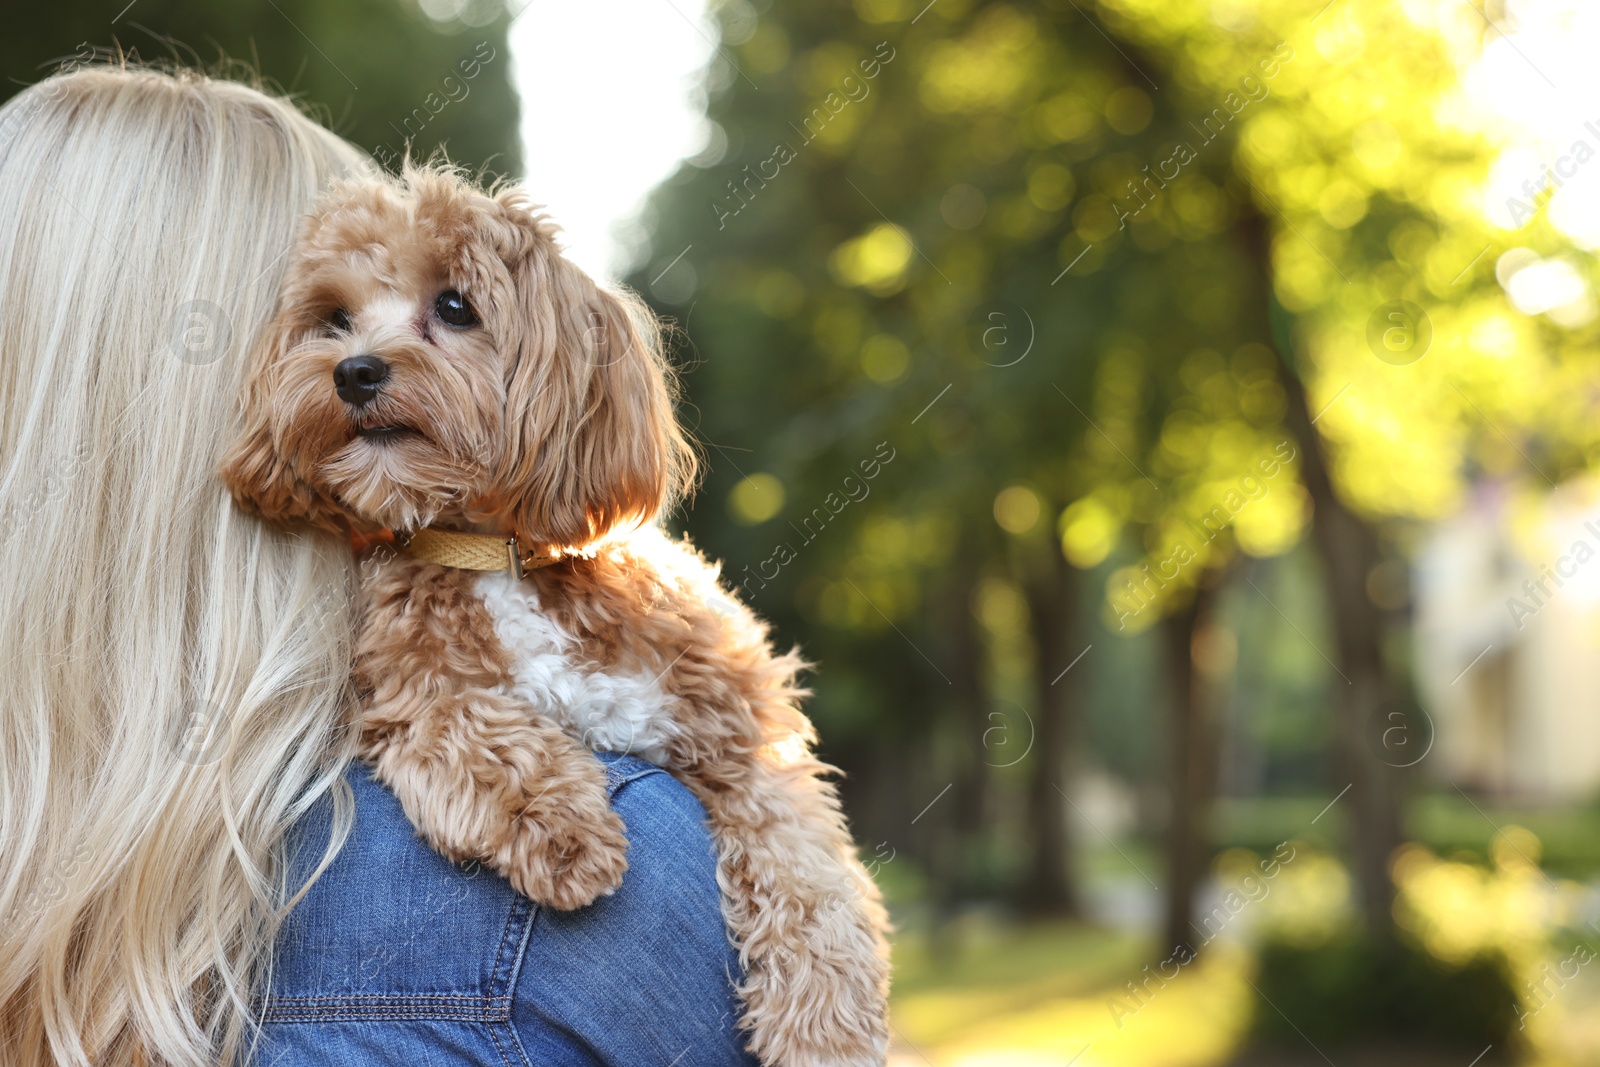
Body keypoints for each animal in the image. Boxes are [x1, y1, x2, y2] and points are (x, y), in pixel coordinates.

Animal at [216, 163, 889, 1062]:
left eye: (456, 304)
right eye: (334, 317)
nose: (353, 370)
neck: (499, 554)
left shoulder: (741, 734)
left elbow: (804, 863)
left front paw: (825, 1024)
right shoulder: (407, 686)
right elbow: (474, 725)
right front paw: (565, 830)